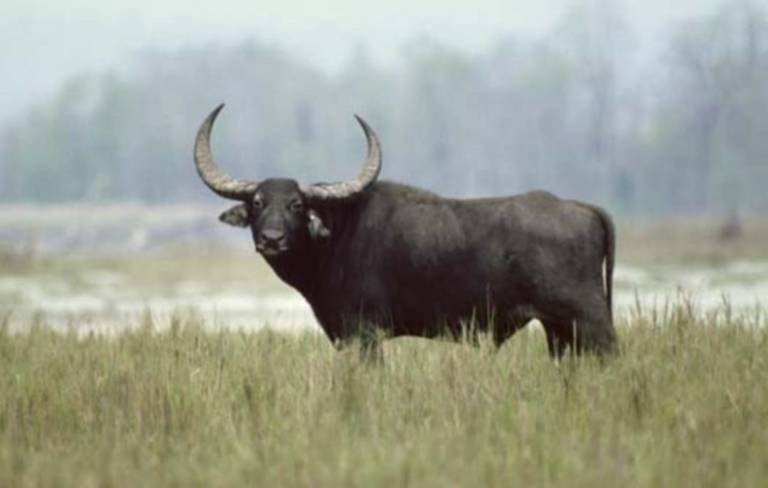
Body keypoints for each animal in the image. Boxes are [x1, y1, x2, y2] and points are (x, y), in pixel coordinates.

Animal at [194, 104, 617, 358]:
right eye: (257, 203)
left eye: (297, 205)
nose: (272, 239)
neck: (337, 236)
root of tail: (580, 207)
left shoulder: (364, 335)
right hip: (558, 331)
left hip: (590, 322)